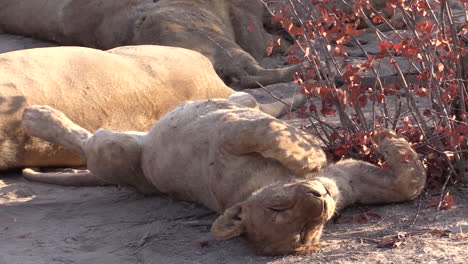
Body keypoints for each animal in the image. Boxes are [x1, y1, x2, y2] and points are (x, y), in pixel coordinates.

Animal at [21, 98, 424, 255]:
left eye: (311, 230)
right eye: (279, 211)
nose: (320, 198)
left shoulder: (349, 181)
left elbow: (411, 184)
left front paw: (388, 138)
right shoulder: (228, 140)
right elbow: (268, 130)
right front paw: (311, 153)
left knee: (246, 99)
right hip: (115, 147)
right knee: (85, 140)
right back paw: (35, 115)